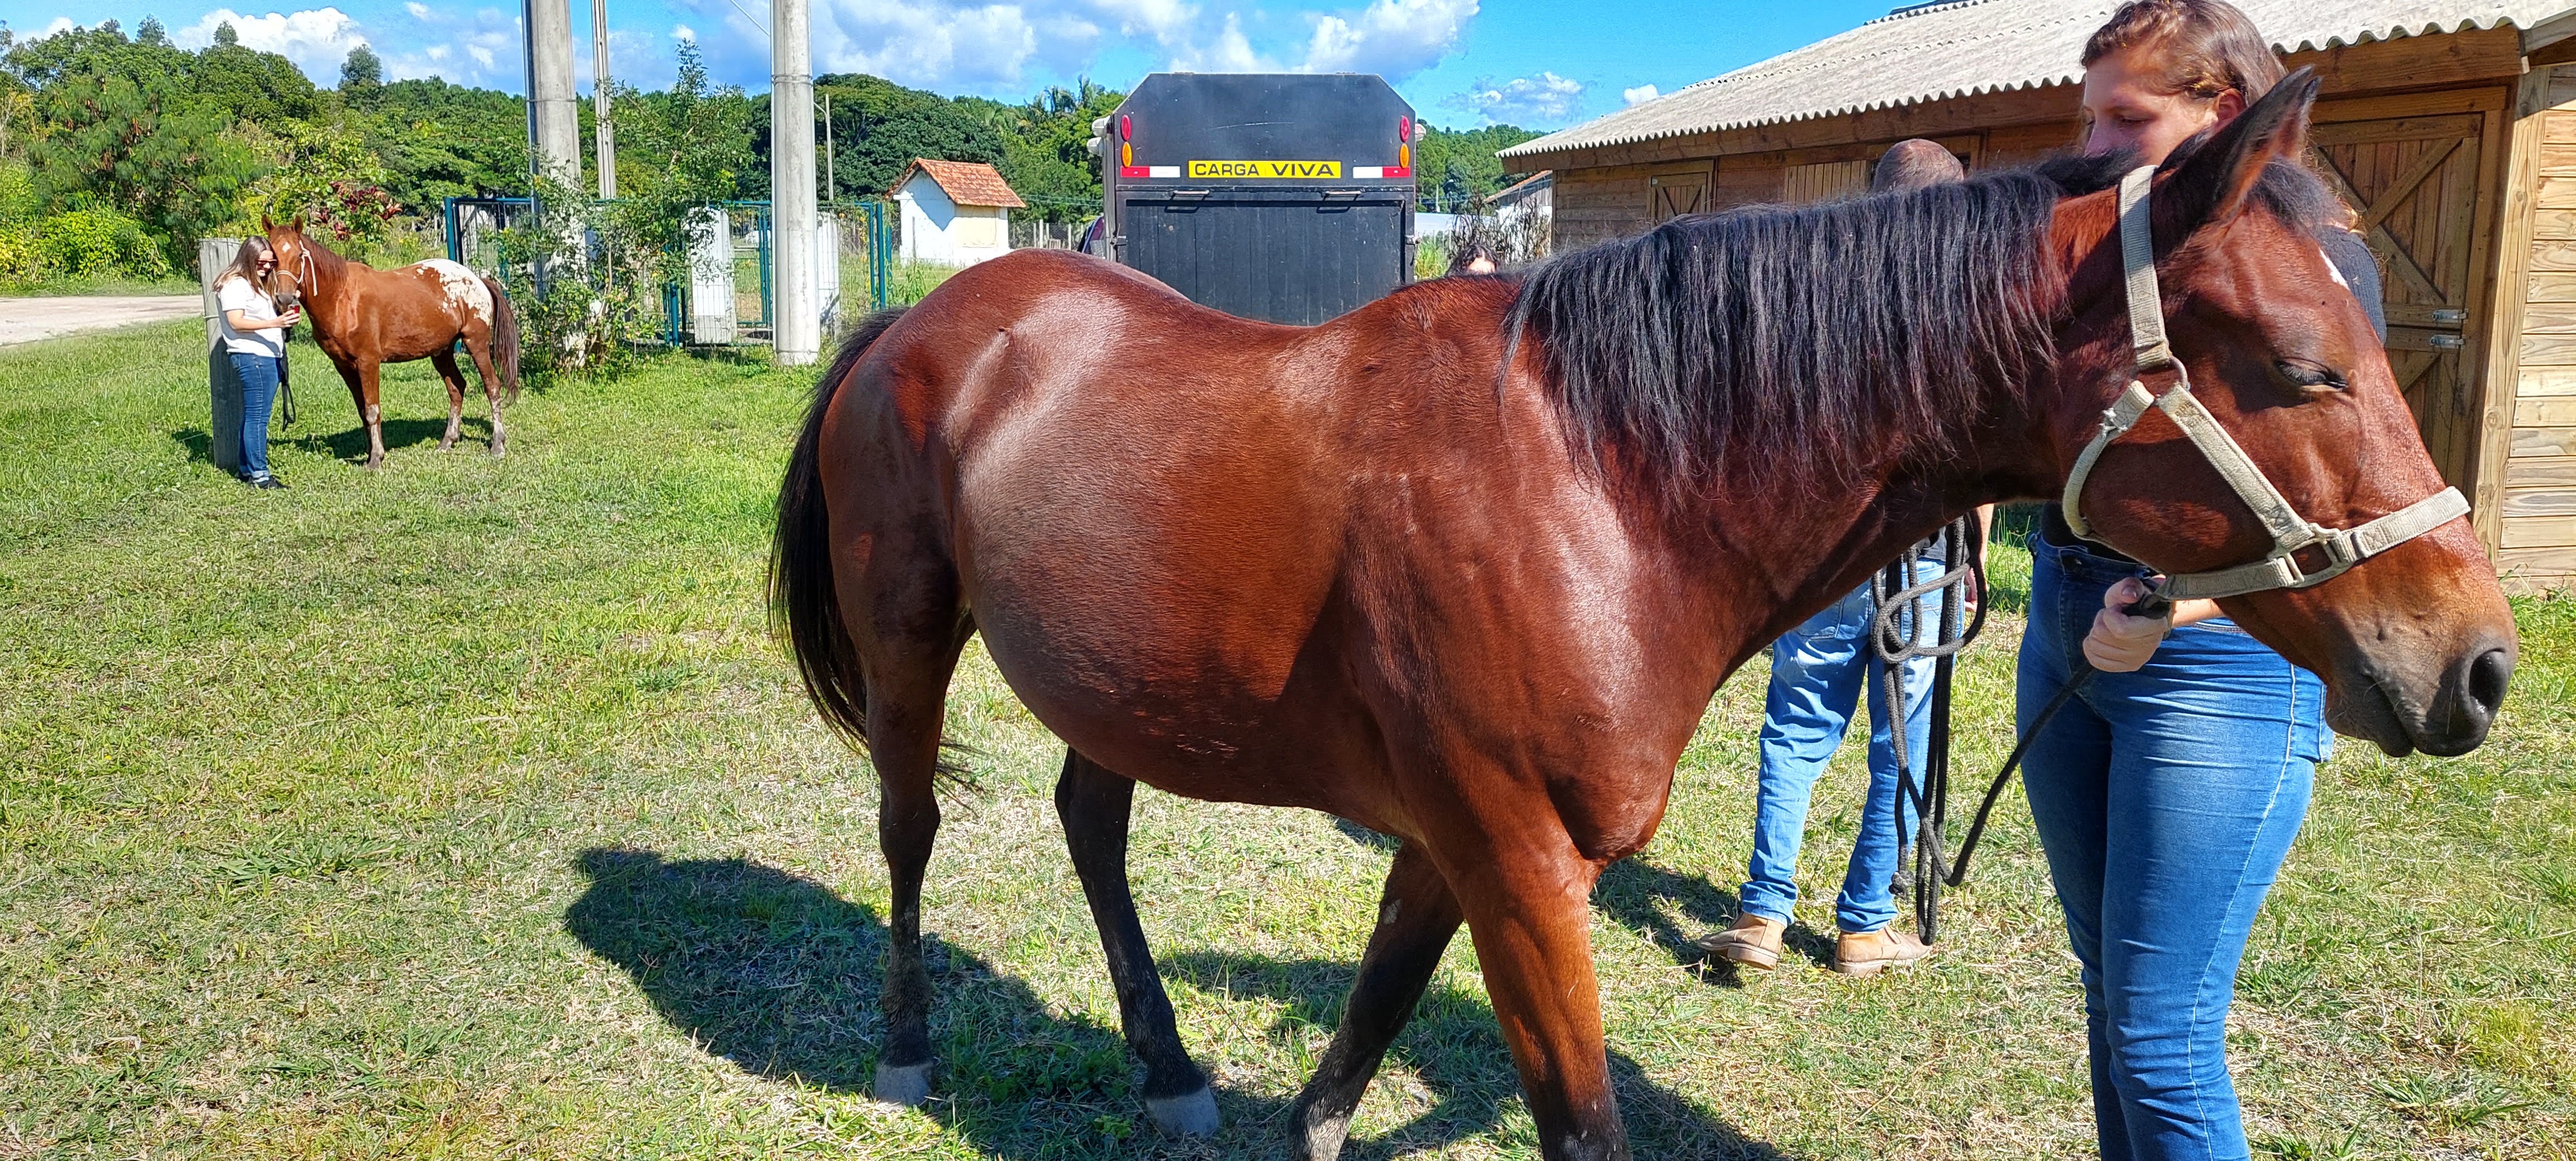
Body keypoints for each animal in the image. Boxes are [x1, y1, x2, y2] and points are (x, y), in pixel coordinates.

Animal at [261, 216, 523, 471]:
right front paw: (370, 454)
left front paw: (376, 459)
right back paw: (447, 442)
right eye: (272, 257)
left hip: (476, 343)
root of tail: (477, 279)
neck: (342, 298)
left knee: (492, 387)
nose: (284, 298)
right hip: (442, 352)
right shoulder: (344, 366)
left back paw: (497, 445)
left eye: (299, 255)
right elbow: (363, 410)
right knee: (457, 388)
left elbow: (372, 410)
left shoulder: (368, 362)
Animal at [762, 75, 2514, 1161]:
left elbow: (1358, 1046)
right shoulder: (1521, 865)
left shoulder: (1453, 849)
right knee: (911, 826)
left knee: (1090, 820)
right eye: (2304, 368)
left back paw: (1165, 1059)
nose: (2479, 663)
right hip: (914, 646)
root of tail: (917, 319)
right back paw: (909, 1045)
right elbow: (1572, 1115)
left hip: (1120, 681)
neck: (1595, 478)